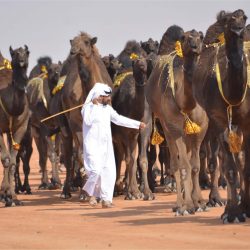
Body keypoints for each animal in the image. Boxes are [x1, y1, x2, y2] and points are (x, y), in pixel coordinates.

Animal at [146, 25, 208, 215]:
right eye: (186, 37)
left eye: (200, 37)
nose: (195, 46)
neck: (186, 103)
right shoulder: (175, 127)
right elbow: (184, 166)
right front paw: (187, 205)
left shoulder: (201, 129)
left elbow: (195, 165)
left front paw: (199, 202)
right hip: (166, 126)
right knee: (175, 162)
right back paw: (179, 204)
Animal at [193, 8, 250, 223]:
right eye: (228, 20)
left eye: (244, 17)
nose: (238, 29)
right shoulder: (218, 120)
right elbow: (231, 169)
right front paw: (232, 213)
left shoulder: (247, 121)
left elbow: (246, 166)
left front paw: (244, 208)